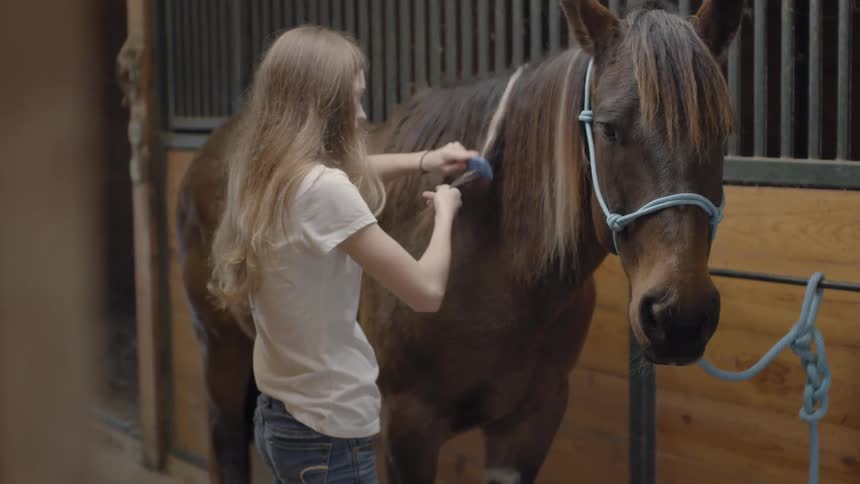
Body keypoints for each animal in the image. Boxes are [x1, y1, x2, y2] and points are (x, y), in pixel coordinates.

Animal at [175, 1, 744, 482]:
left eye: (722, 131)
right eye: (608, 128)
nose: (679, 316)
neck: (495, 265)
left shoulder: (530, 424)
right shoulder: (407, 426)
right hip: (220, 352)